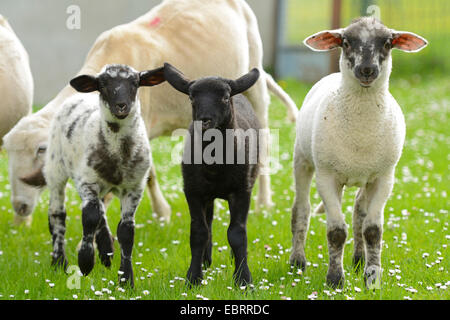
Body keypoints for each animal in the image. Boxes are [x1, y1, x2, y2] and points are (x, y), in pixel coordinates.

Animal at [4, 0, 298, 225]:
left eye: (41, 149)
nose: (19, 207)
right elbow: (150, 174)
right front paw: (161, 214)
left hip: (254, 81)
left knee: (264, 139)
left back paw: (263, 204)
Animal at [21, 63, 165, 286]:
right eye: (103, 84)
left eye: (135, 83)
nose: (122, 106)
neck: (118, 153)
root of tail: (76, 97)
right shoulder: (87, 182)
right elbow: (89, 217)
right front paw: (86, 262)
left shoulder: (134, 187)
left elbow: (126, 231)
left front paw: (126, 279)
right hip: (56, 169)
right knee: (57, 215)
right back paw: (59, 262)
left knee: (100, 210)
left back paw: (106, 252)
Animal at [163, 63, 260, 288]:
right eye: (191, 97)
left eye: (224, 97)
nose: (204, 121)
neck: (215, 165)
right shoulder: (193, 192)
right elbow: (199, 232)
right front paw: (193, 278)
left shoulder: (241, 191)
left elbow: (237, 233)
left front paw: (243, 279)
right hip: (206, 195)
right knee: (209, 222)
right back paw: (206, 261)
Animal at [290, 16, 428, 288]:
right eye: (345, 42)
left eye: (387, 43)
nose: (366, 70)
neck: (360, 134)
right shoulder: (326, 176)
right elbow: (335, 232)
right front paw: (335, 280)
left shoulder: (384, 177)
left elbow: (372, 230)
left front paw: (372, 278)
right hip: (303, 161)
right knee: (301, 210)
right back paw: (297, 262)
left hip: (364, 175)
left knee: (358, 212)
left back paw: (358, 259)